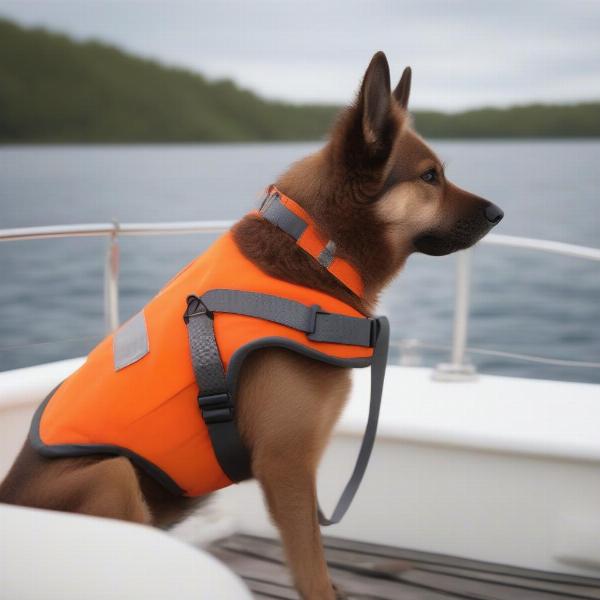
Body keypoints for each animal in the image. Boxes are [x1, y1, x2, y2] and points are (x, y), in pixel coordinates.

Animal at [1, 52, 502, 600]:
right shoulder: (285, 465)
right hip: (112, 475)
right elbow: (312, 572)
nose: (499, 212)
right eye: (430, 177)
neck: (316, 250)